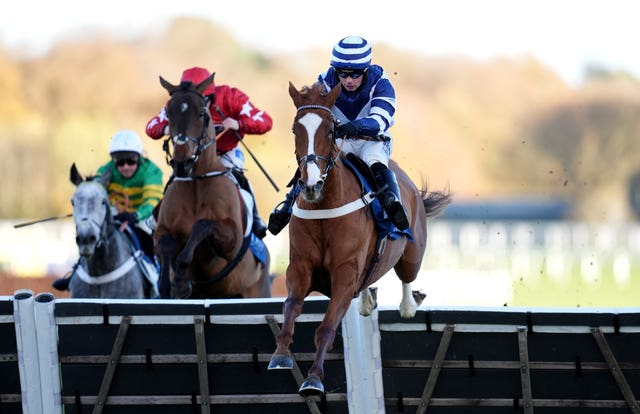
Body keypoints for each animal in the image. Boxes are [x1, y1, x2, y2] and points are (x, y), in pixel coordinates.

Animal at [154, 73, 272, 300]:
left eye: (201, 113)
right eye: (169, 113)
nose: (182, 163)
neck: (196, 183)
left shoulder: (231, 240)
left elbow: (202, 226)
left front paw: (180, 280)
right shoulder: (161, 231)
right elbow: (164, 244)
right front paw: (168, 284)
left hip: (256, 291)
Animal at [268, 82, 452, 396]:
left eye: (331, 129)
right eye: (295, 129)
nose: (311, 184)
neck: (325, 205)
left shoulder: (344, 274)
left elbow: (327, 326)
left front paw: (313, 378)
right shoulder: (300, 268)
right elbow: (290, 306)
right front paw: (281, 355)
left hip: (411, 255)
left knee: (407, 283)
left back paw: (409, 303)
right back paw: (368, 300)